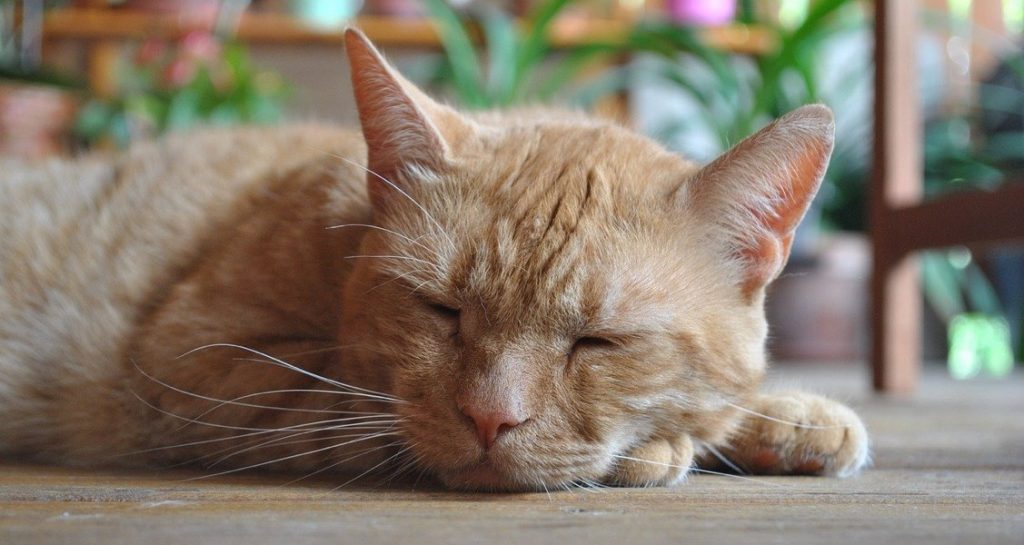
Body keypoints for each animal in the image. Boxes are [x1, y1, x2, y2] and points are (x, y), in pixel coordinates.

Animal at [0, 29, 868, 489]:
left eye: (599, 341)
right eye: (441, 309)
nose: (491, 417)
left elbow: (727, 400)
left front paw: (788, 416)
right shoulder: (198, 359)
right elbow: (360, 410)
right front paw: (665, 445)